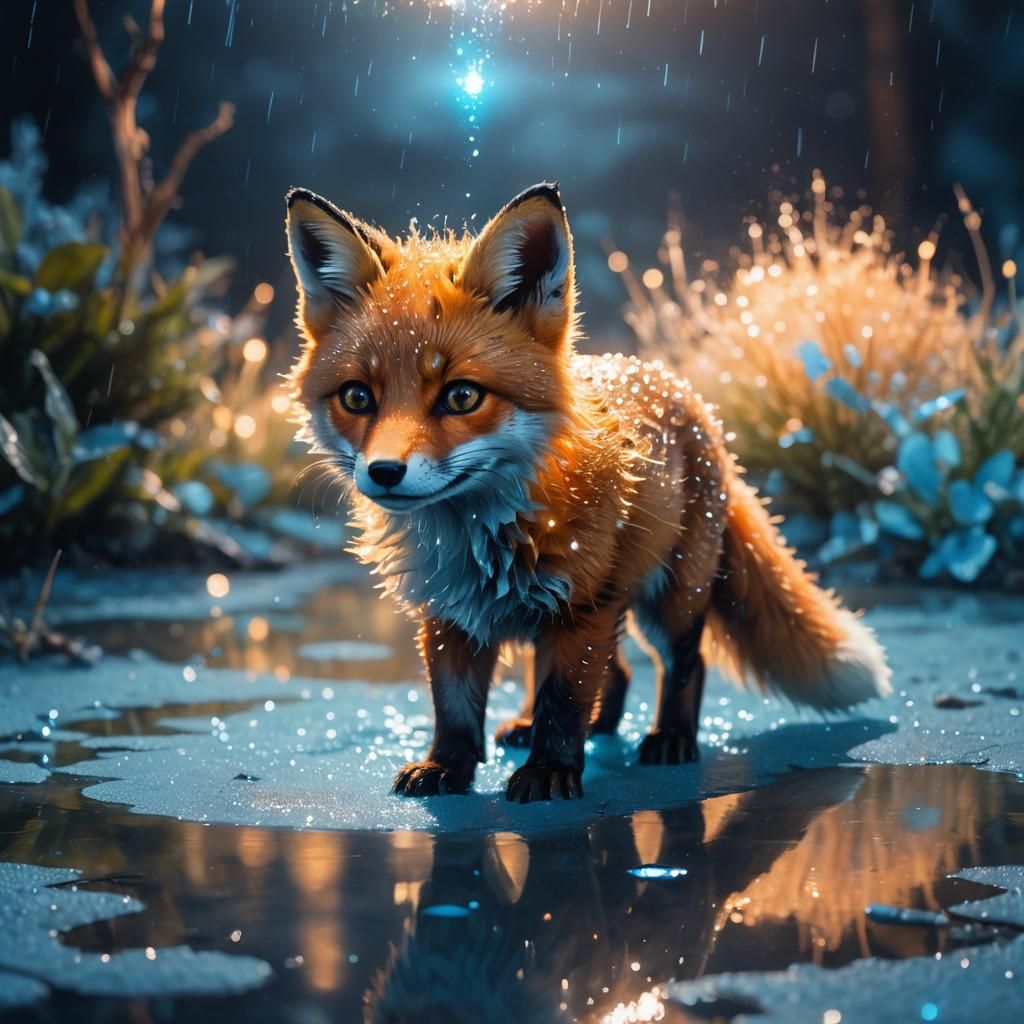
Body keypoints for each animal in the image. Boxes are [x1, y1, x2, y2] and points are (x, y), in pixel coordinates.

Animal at [284, 181, 892, 804]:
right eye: (357, 397)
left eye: (461, 396)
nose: (384, 471)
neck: (481, 537)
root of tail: (690, 398)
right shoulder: (451, 613)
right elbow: (454, 706)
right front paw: (447, 768)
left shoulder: (580, 607)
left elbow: (564, 700)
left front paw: (550, 772)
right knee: (616, 674)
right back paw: (568, 725)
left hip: (669, 599)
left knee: (684, 665)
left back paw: (671, 738)